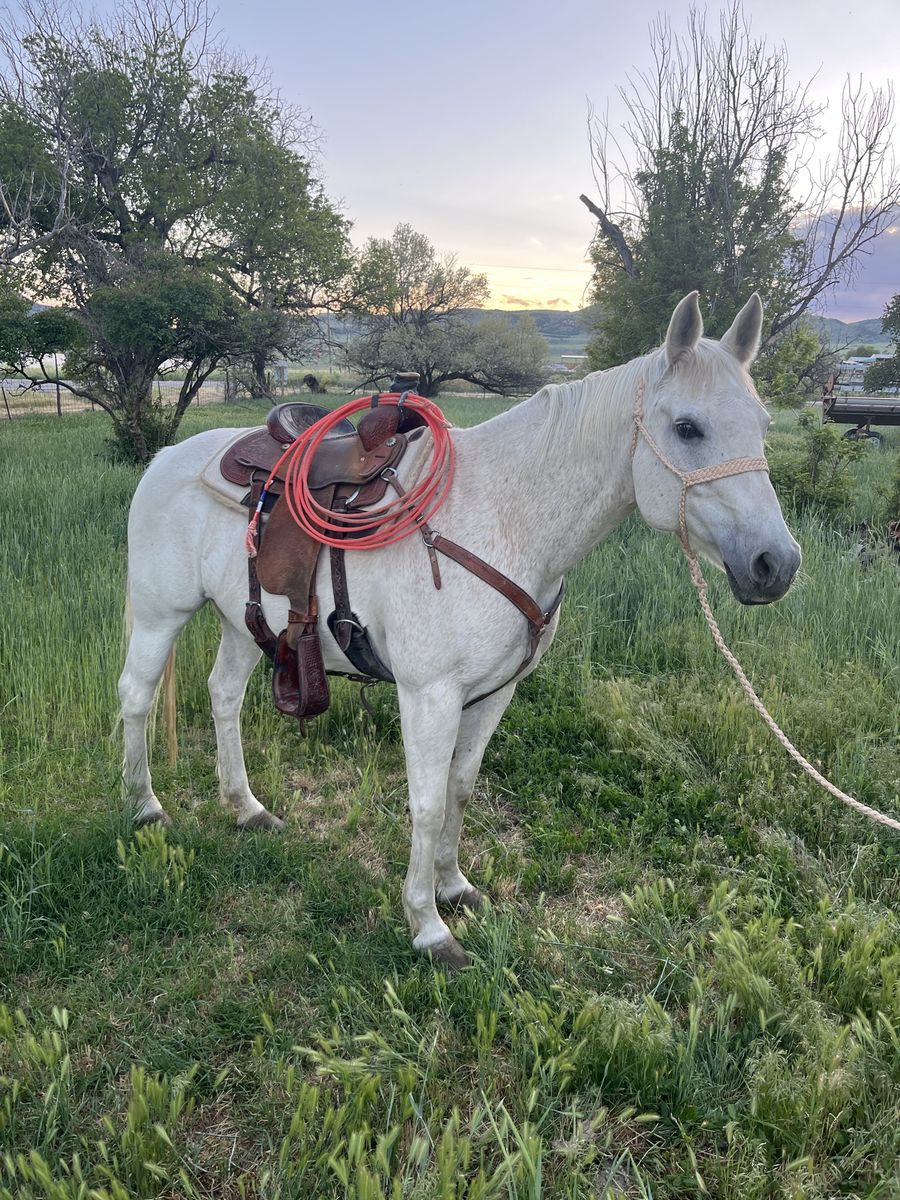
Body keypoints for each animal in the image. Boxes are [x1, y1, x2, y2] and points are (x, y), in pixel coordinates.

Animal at [119, 292, 801, 967]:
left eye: (763, 424)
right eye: (687, 427)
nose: (777, 563)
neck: (505, 518)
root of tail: (168, 458)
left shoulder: (494, 693)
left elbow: (460, 787)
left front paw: (453, 886)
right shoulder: (429, 695)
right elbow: (424, 804)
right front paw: (427, 926)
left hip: (244, 623)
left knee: (224, 697)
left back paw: (246, 808)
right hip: (160, 614)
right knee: (137, 695)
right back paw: (145, 805)